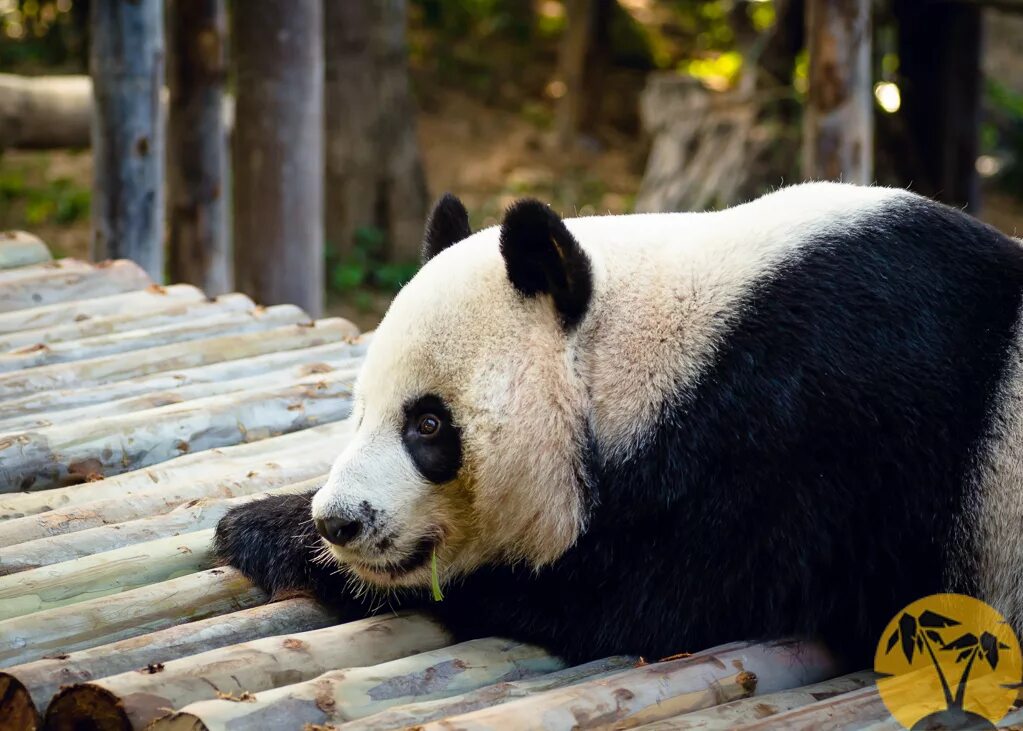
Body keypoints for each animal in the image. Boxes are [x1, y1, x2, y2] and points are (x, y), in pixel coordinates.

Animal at [211, 183, 1023, 670]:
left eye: (429, 424)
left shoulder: (807, 429)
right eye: (359, 409)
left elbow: (635, 601)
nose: (340, 520)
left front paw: (264, 528)